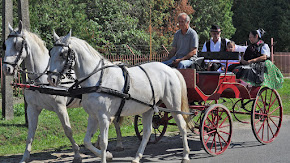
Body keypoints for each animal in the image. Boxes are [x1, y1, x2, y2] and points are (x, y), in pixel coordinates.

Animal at [2, 22, 124, 163]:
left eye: (17, 44)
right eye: (5, 45)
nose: (6, 69)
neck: (41, 79)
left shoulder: (60, 107)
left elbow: (68, 130)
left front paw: (77, 155)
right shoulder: (32, 108)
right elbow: (30, 133)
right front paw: (25, 157)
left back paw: (115, 144)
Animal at [47, 30, 193, 163]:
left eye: (62, 54)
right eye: (50, 52)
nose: (51, 79)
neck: (98, 78)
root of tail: (170, 69)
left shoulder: (104, 117)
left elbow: (104, 142)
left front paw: (105, 157)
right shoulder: (92, 116)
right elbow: (87, 141)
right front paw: (108, 155)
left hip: (173, 105)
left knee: (182, 126)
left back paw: (185, 155)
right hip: (148, 108)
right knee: (147, 132)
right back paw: (137, 157)